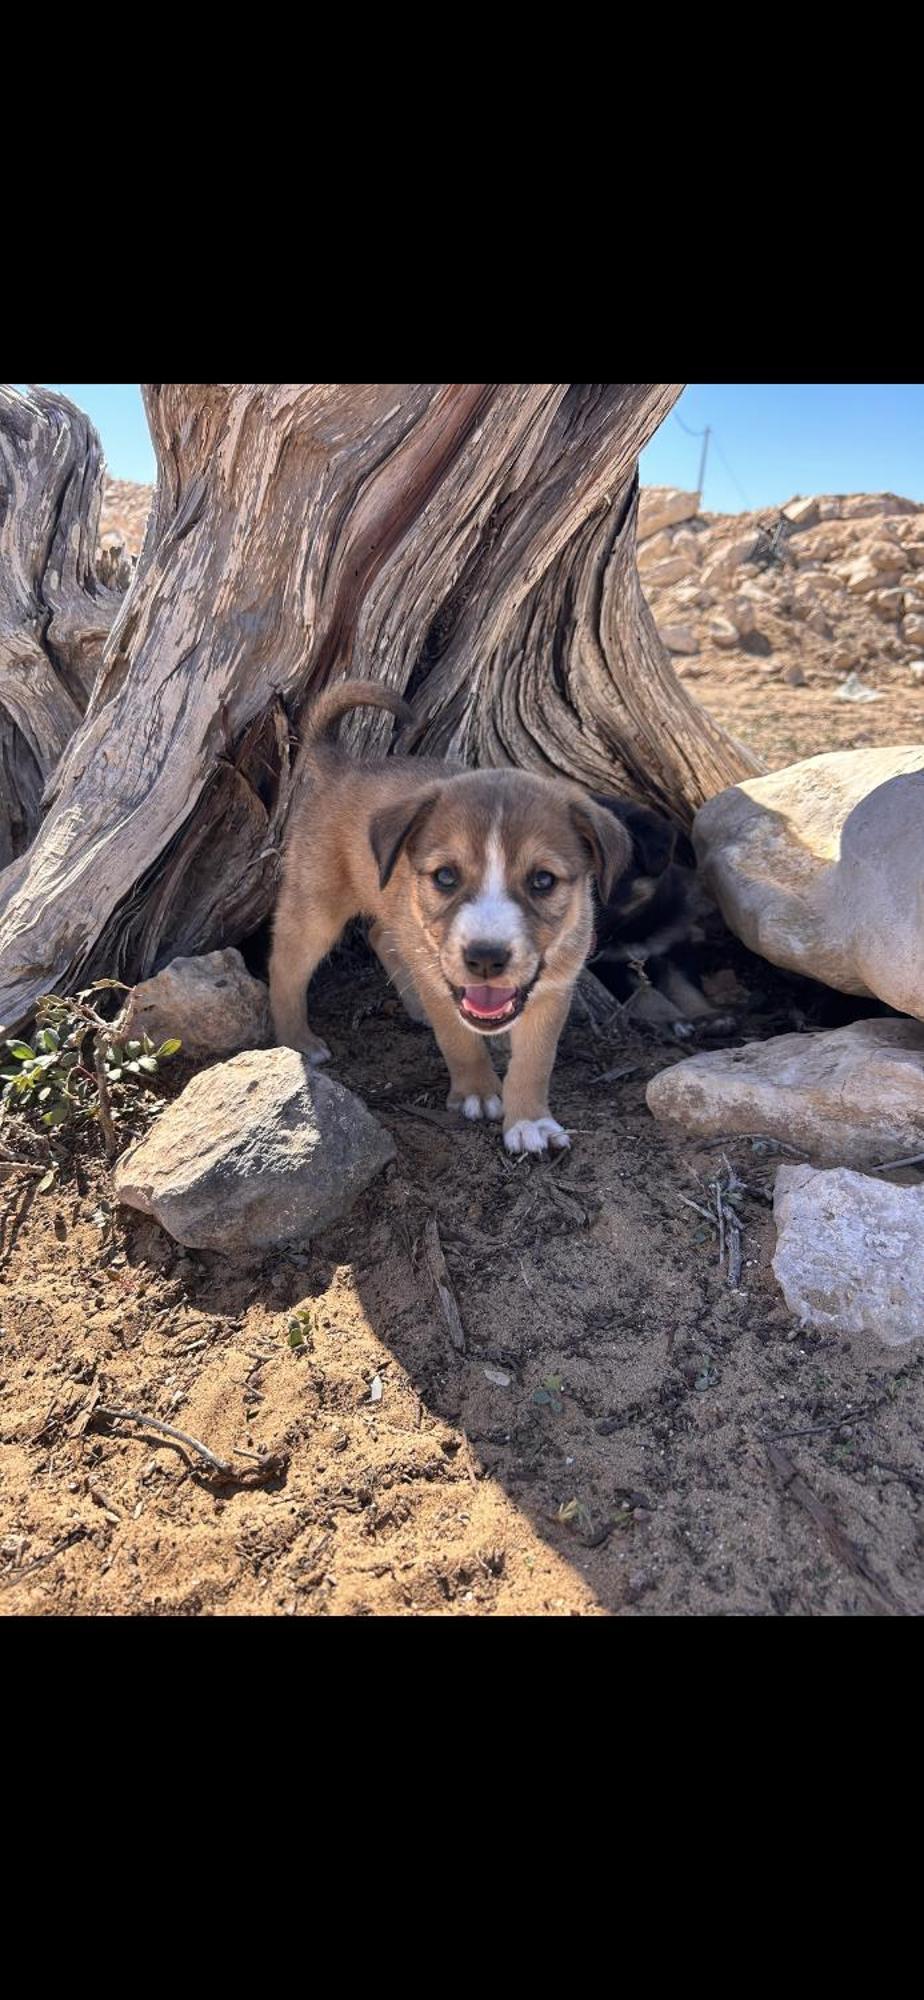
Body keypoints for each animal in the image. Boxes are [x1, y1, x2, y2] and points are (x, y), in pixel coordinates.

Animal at [268, 680, 628, 1160]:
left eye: (543, 880)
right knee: (286, 964)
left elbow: (535, 1062)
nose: (486, 959)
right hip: (317, 906)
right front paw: (477, 1091)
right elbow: (458, 1040)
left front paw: (529, 1121)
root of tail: (341, 766)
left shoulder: (553, 989)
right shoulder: (446, 981)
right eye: (445, 876)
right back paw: (297, 1040)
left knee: (382, 934)